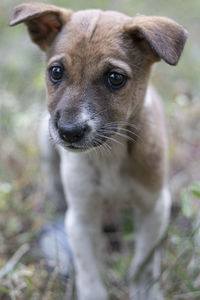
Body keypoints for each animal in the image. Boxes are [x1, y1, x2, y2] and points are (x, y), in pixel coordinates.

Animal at [9, 2, 188, 300]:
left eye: (115, 78)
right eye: (56, 72)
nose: (68, 131)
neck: (110, 153)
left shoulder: (153, 207)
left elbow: (143, 265)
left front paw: (146, 293)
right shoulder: (81, 217)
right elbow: (89, 273)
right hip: (46, 145)